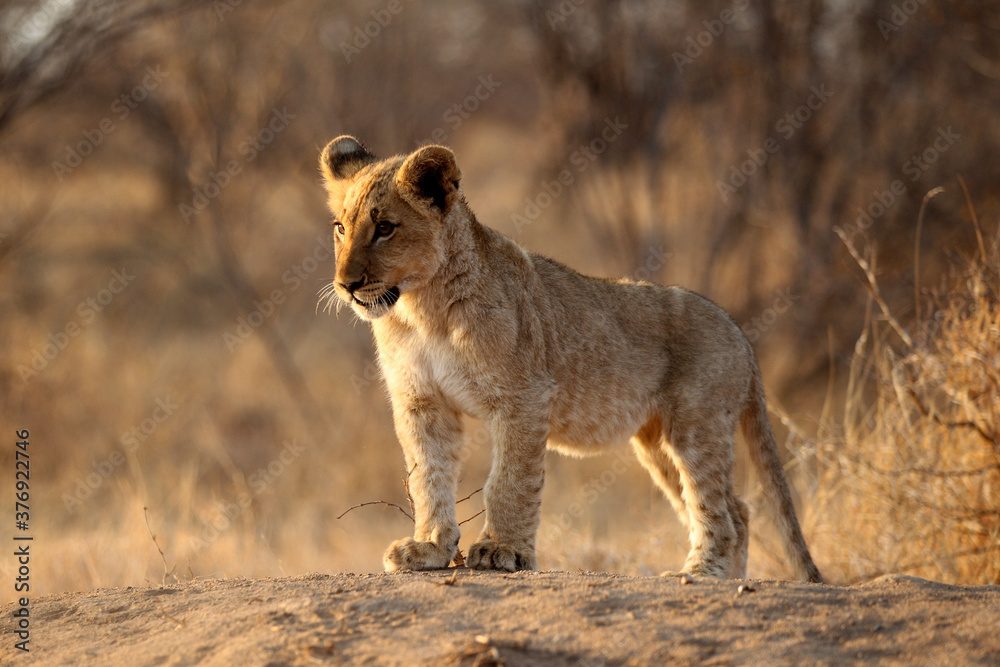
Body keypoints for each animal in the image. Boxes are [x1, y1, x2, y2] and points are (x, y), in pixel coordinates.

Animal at [318, 135, 823, 582]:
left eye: (385, 228)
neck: (421, 307)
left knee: (722, 509)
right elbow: (428, 475)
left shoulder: (524, 397)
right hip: (657, 443)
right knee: (738, 507)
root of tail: (739, 331)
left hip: (697, 428)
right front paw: (428, 548)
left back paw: (700, 573)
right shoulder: (422, 402)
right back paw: (722, 575)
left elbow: (510, 480)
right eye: (341, 227)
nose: (346, 284)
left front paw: (501, 551)